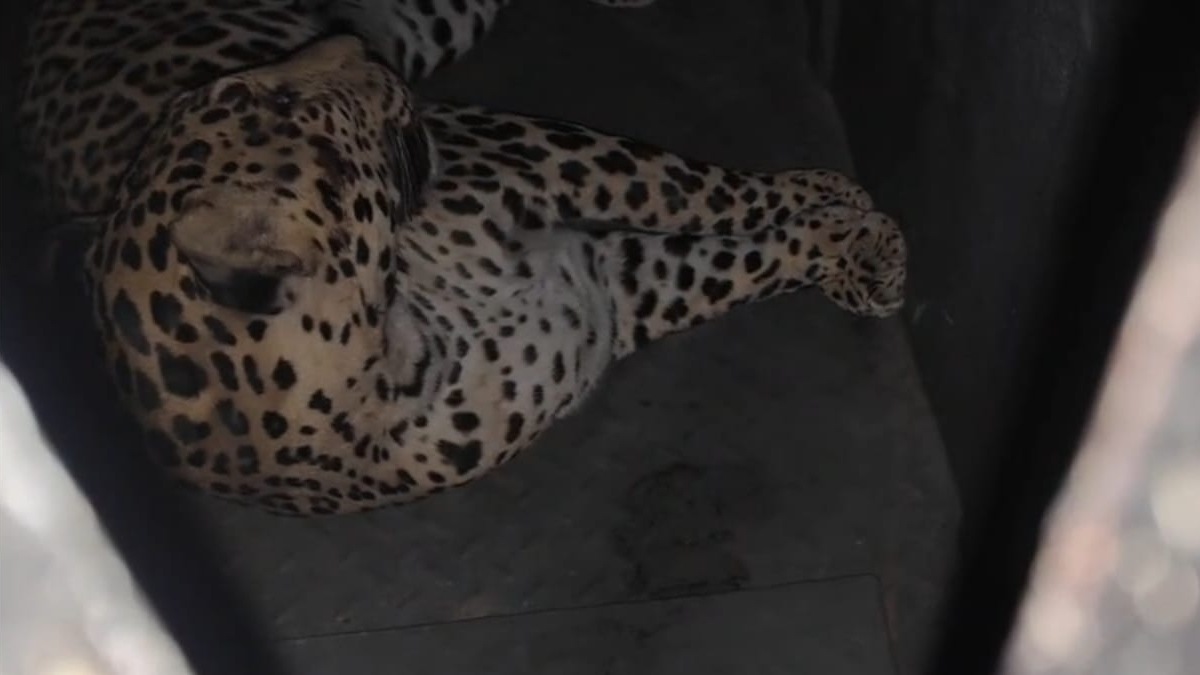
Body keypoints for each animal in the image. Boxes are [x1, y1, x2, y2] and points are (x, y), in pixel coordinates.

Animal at [19, 5, 908, 516]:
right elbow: (734, 257)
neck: (395, 336)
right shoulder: (606, 288)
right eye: (278, 100)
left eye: (241, 95)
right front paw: (852, 237)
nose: (352, 42)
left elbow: (703, 190)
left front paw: (846, 213)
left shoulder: (542, 153)